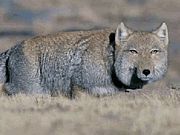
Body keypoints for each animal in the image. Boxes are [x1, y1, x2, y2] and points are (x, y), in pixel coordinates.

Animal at [0, 22, 169, 97]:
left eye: (154, 52)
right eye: (133, 51)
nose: (146, 71)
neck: (108, 62)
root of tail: (13, 48)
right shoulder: (80, 89)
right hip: (27, 91)